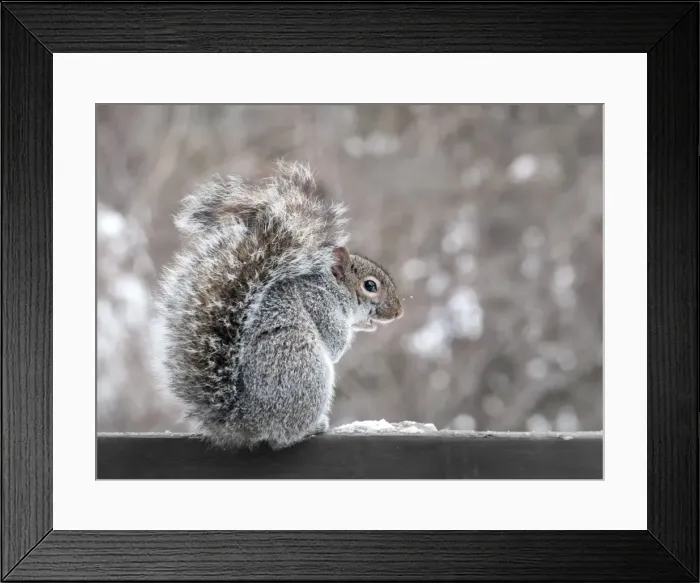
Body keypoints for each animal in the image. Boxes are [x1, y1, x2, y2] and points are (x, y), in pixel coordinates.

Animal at [155, 160, 404, 451]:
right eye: (370, 286)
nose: (398, 312)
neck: (332, 288)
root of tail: (247, 421)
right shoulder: (319, 305)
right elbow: (334, 343)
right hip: (306, 370)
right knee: (283, 436)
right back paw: (312, 427)